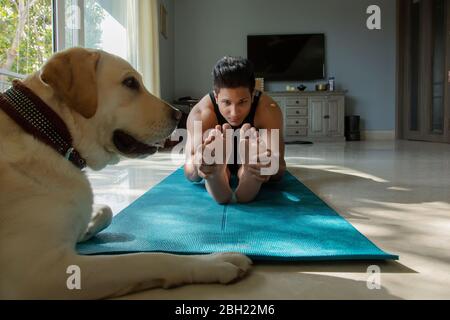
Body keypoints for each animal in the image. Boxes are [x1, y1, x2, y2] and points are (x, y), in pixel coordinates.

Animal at [0, 48, 253, 300]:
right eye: (130, 83)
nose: (178, 115)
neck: (47, 133)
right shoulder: (44, 272)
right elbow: (153, 258)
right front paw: (214, 262)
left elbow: (106, 210)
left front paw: (88, 226)